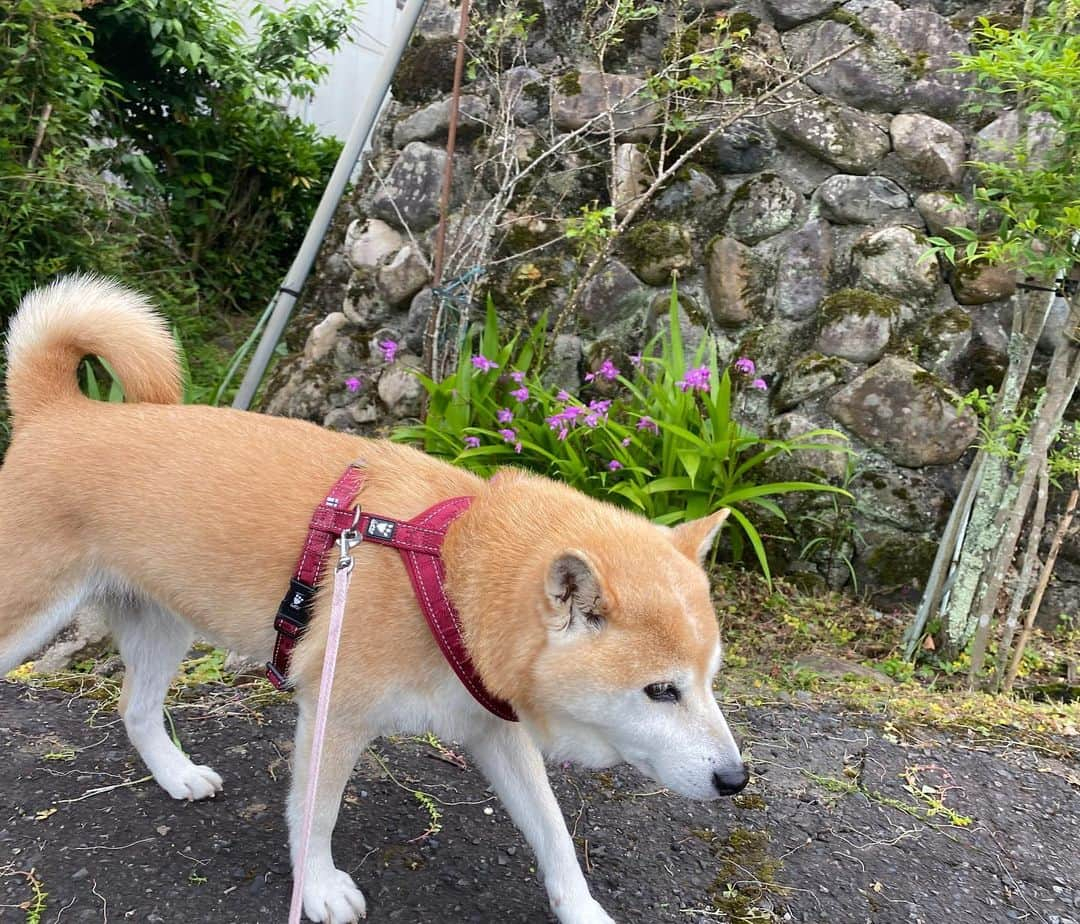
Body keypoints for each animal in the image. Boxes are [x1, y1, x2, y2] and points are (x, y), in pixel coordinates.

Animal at [0, 276, 747, 924]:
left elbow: (555, 835)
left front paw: (583, 911)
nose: (737, 780)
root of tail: (60, 410)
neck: (451, 574)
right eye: (661, 691)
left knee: (135, 708)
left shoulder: (496, 731)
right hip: (27, 617)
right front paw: (319, 888)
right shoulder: (334, 712)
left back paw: (175, 774)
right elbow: (315, 814)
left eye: (710, 681)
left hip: (164, 627)